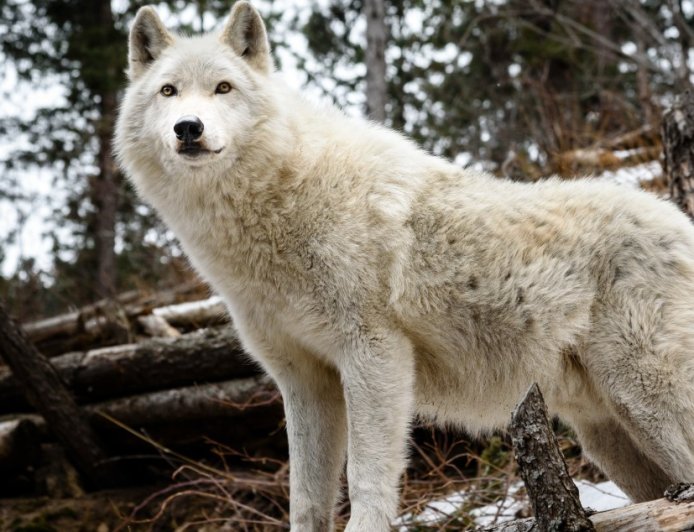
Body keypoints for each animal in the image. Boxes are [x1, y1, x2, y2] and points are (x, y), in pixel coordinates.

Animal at [115, 3, 694, 530]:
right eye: (168, 91)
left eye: (223, 88)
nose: (189, 128)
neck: (277, 205)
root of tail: (678, 219)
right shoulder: (303, 380)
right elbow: (306, 498)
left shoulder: (374, 353)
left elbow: (366, 477)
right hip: (608, 435)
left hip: (643, 396)